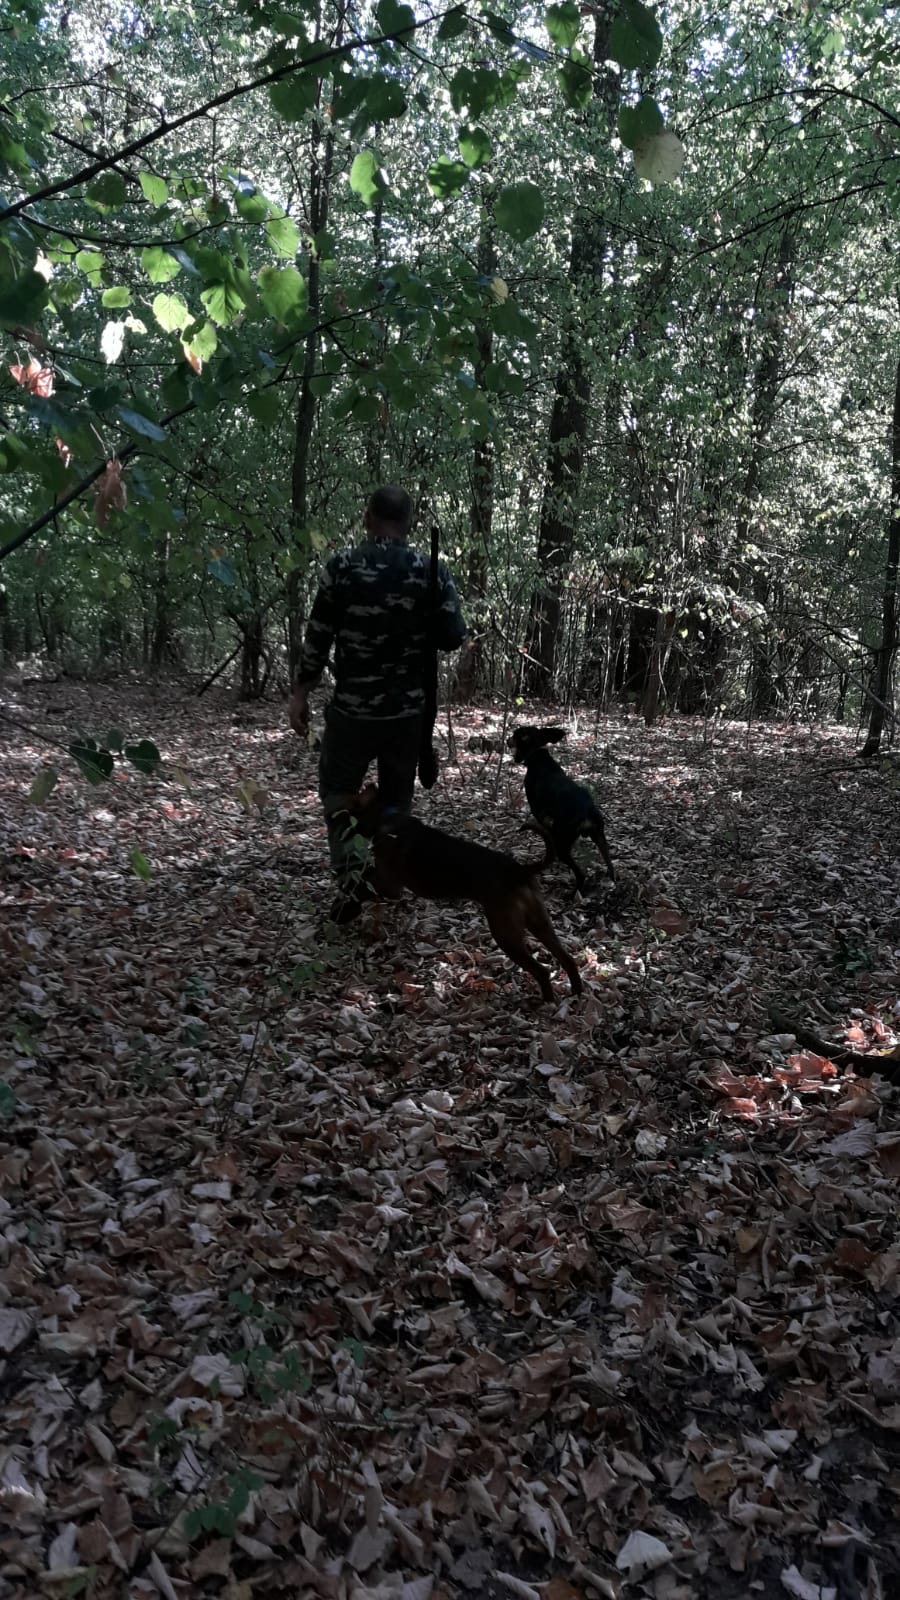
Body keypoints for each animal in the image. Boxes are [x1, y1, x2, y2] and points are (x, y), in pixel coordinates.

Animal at [339, 784, 582, 1003]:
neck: (386, 818)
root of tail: (520, 870)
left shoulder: (383, 881)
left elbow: (357, 891)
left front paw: (342, 911)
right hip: (539, 924)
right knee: (568, 960)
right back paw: (576, 994)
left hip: (506, 934)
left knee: (541, 970)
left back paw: (546, 1002)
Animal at [509, 725, 614, 893]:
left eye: (515, 735)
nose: (507, 740)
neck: (537, 755)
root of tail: (587, 811)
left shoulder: (538, 811)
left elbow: (547, 829)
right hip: (599, 836)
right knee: (611, 867)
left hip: (564, 843)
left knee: (580, 874)